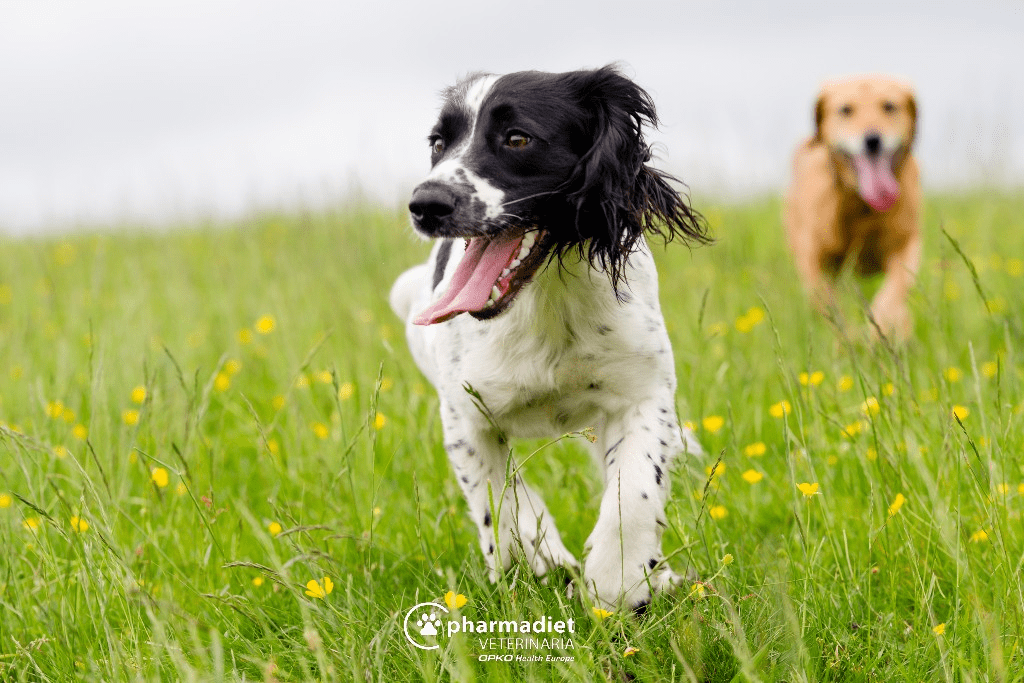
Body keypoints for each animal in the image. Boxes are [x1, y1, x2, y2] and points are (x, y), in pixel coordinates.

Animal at [387, 65, 708, 610]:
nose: (425, 204)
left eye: (518, 138)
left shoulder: (644, 393)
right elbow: (500, 499)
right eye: (438, 143)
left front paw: (618, 581)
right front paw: (540, 559)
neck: (546, 300)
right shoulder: (464, 417)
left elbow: (633, 493)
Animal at [786, 76, 925, 339]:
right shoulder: (813, 260)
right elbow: (830, 307)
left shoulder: (906, 245)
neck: (862, 206)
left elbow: (892, 294)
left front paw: (881, 331)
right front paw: (848, 336)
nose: (872, 140)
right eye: (846, 110)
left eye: (889, 106)